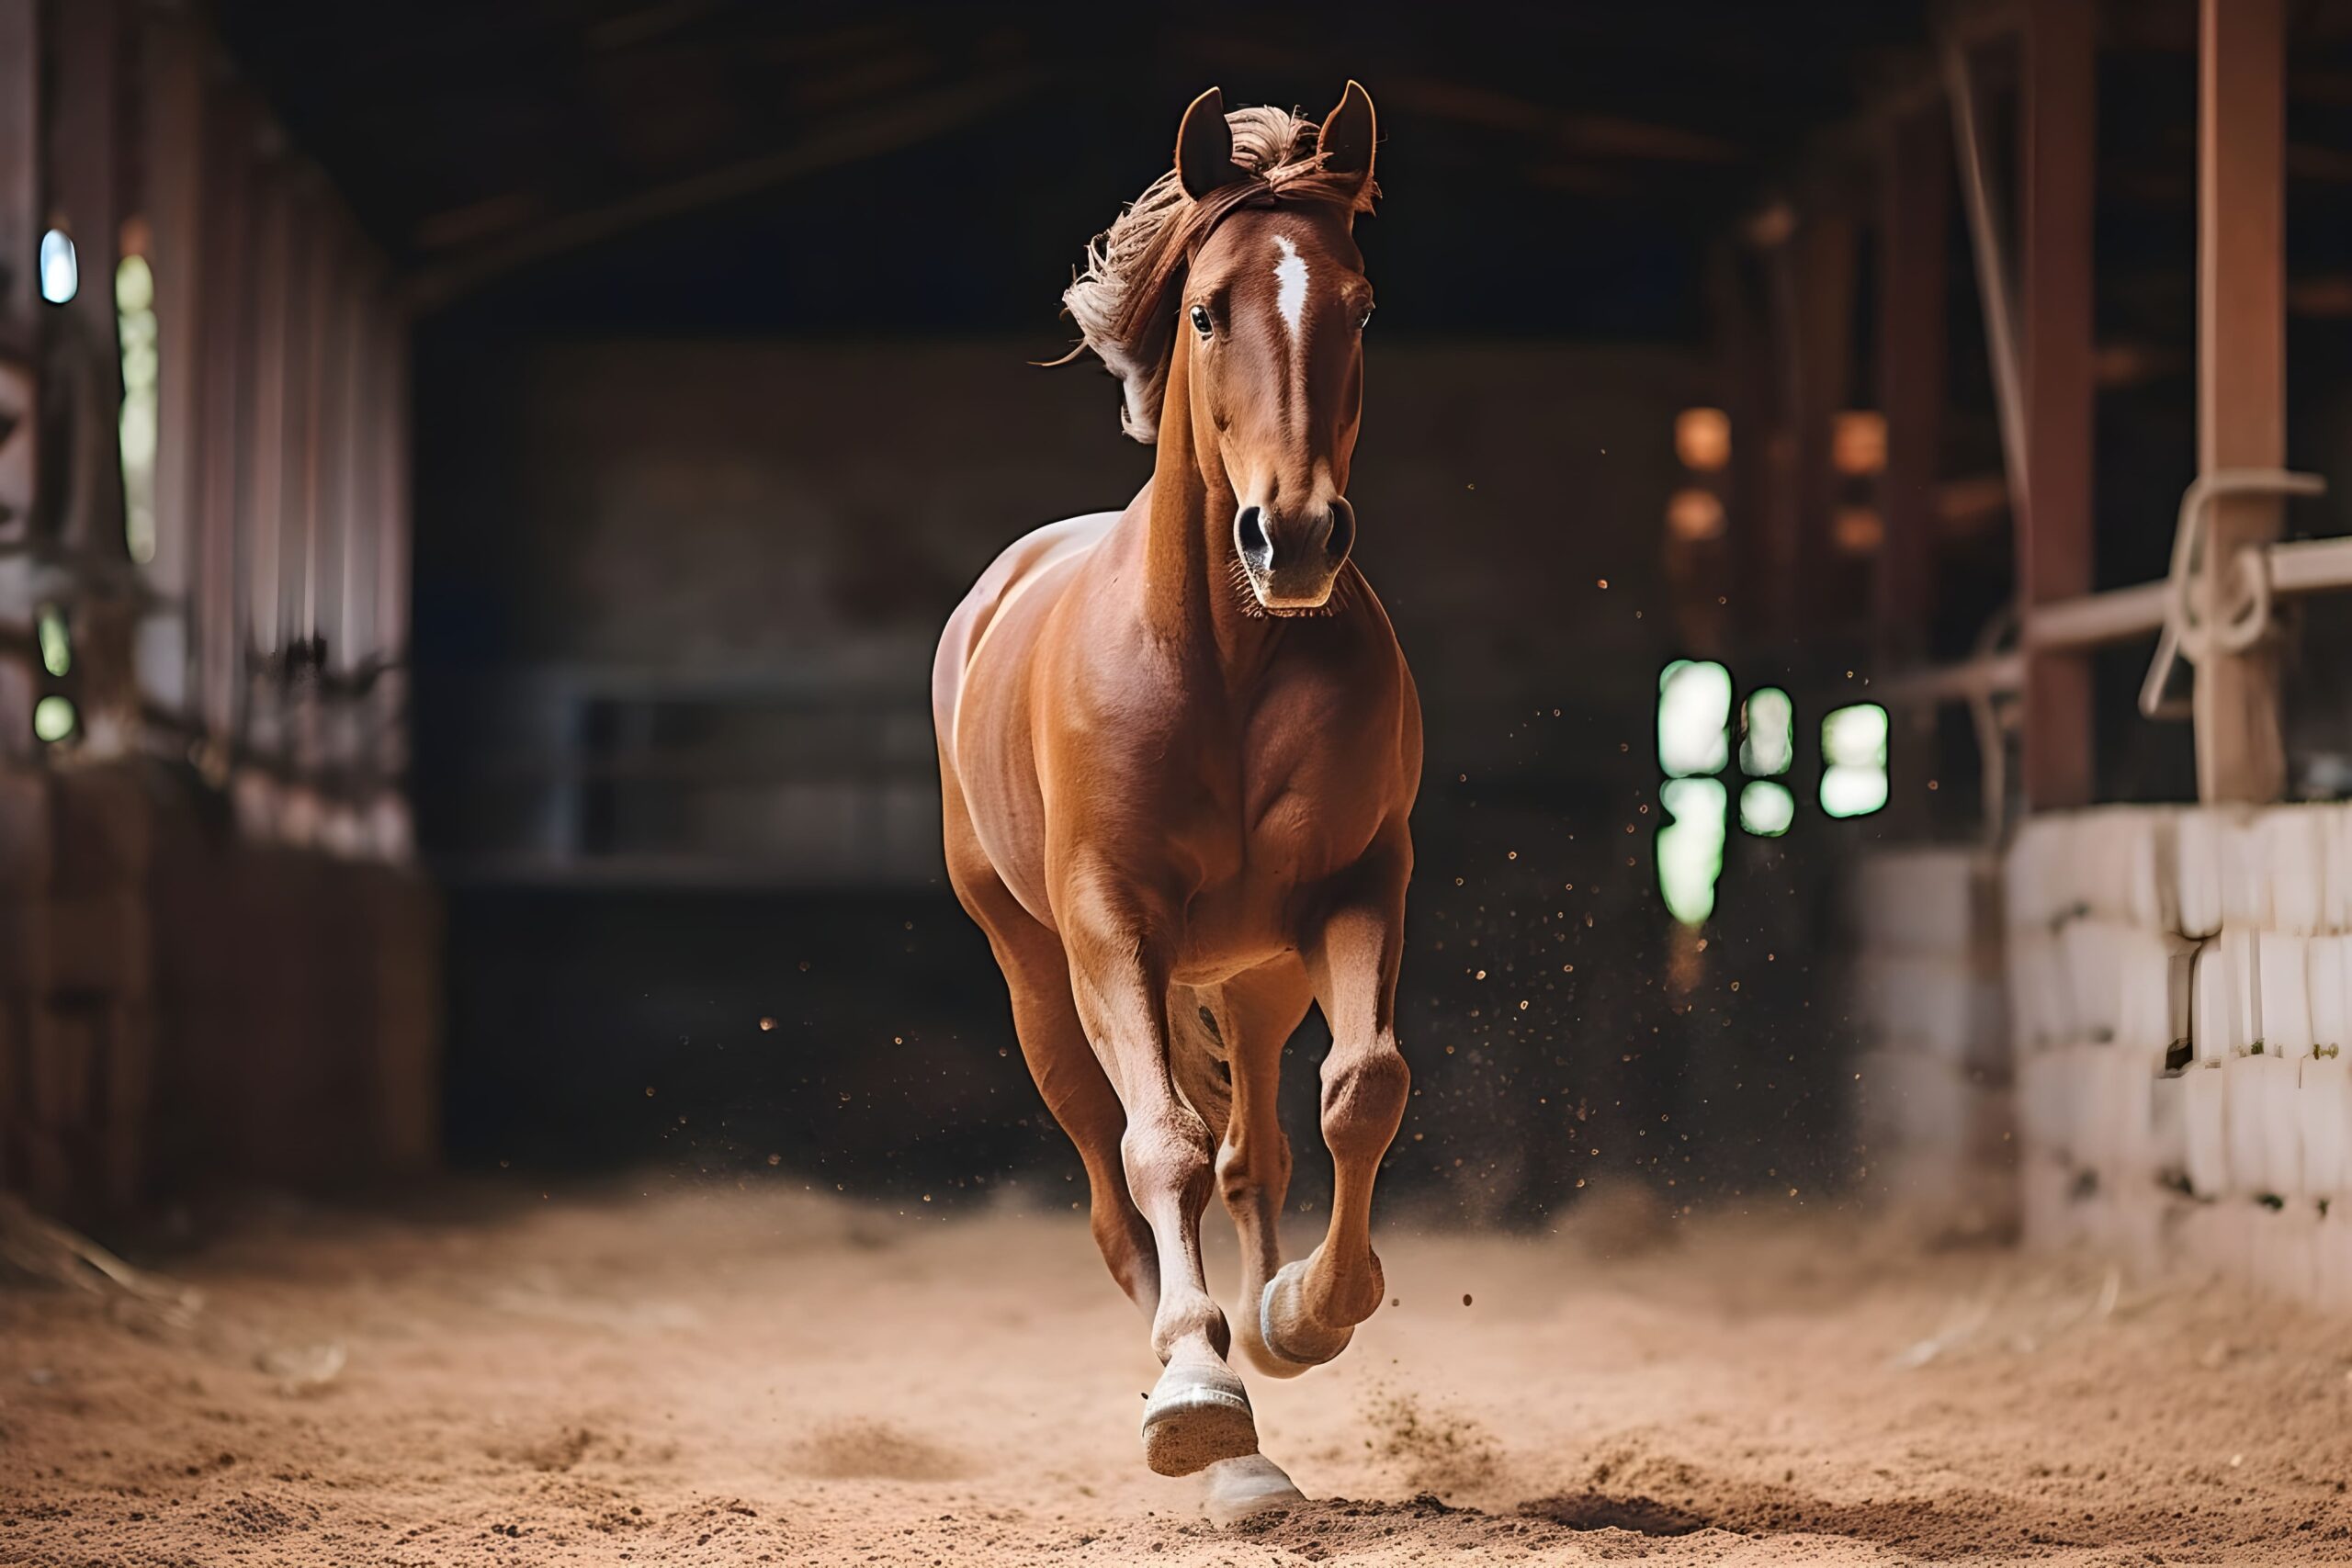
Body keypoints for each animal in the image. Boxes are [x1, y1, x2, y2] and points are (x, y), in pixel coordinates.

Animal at [932, 83, 1420, 1521]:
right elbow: (1164, 1149)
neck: (1220, 658)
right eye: (1206, 310)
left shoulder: (1358, 886)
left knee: (1259, 1142)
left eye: (1360, 306)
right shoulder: (1113, 924)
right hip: (1043, 982)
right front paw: (1202, 1396)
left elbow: (1361, 1089)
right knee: (1120, 1189)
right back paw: (1214, 1416)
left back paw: (1265, 1358)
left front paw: (1312, 1307)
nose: (1294, 535)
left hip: (1256, 975)